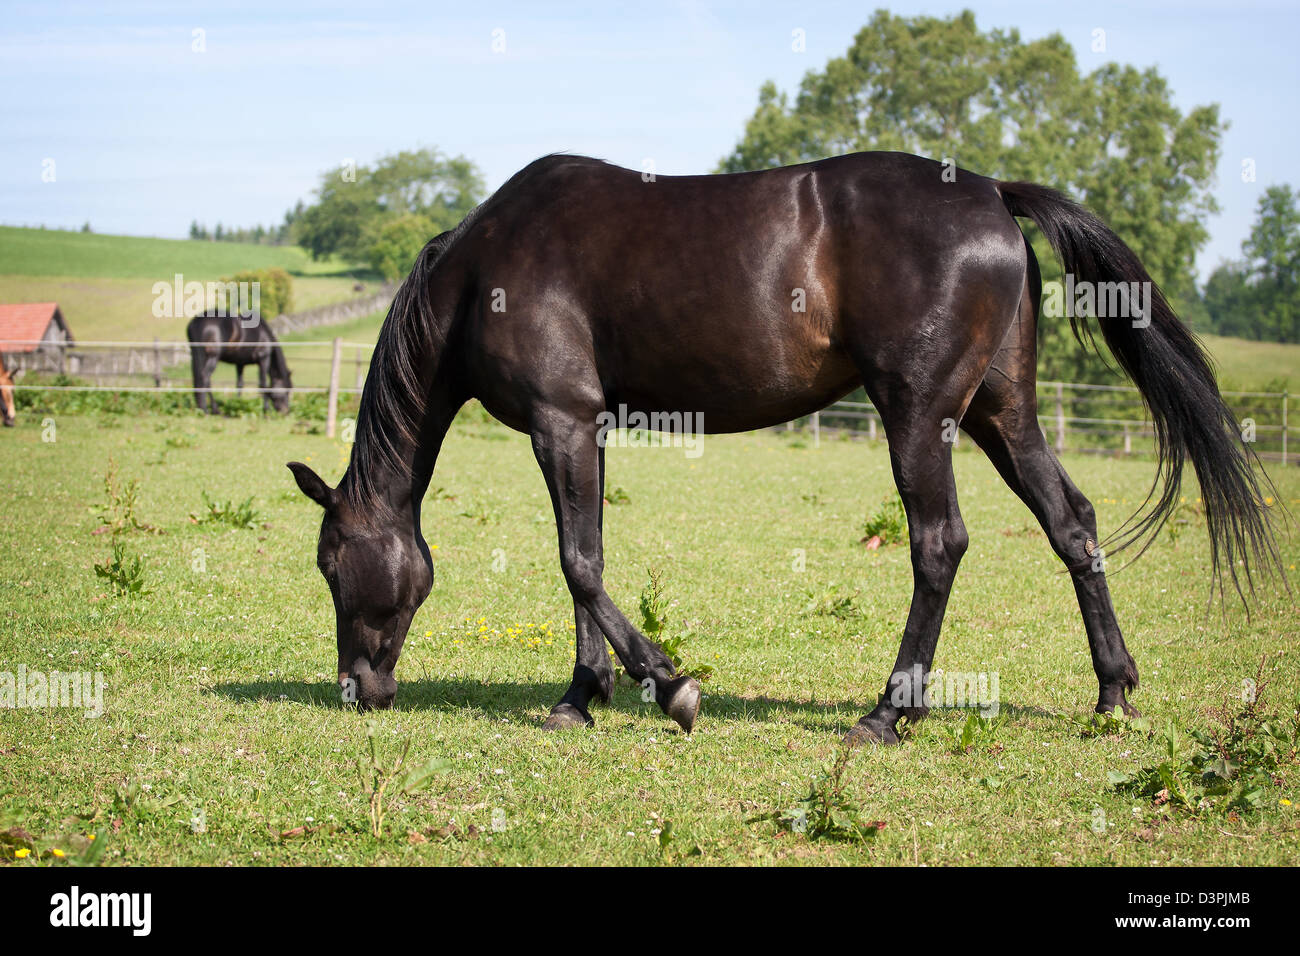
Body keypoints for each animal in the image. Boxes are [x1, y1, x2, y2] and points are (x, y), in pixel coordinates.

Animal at [286, 151, 1280, 744]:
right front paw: (581, 695)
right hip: (1003, 412)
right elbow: (588, 557)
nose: (359, 690)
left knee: (939, 545)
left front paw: (672, 686)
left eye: (333, 568)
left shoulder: (559, 420)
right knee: (1071, 523)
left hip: (922, 414)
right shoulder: (583, 426)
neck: (483, 272)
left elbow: (578, 563)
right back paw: (1112, 693)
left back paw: (889, 712)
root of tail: (993, 193)